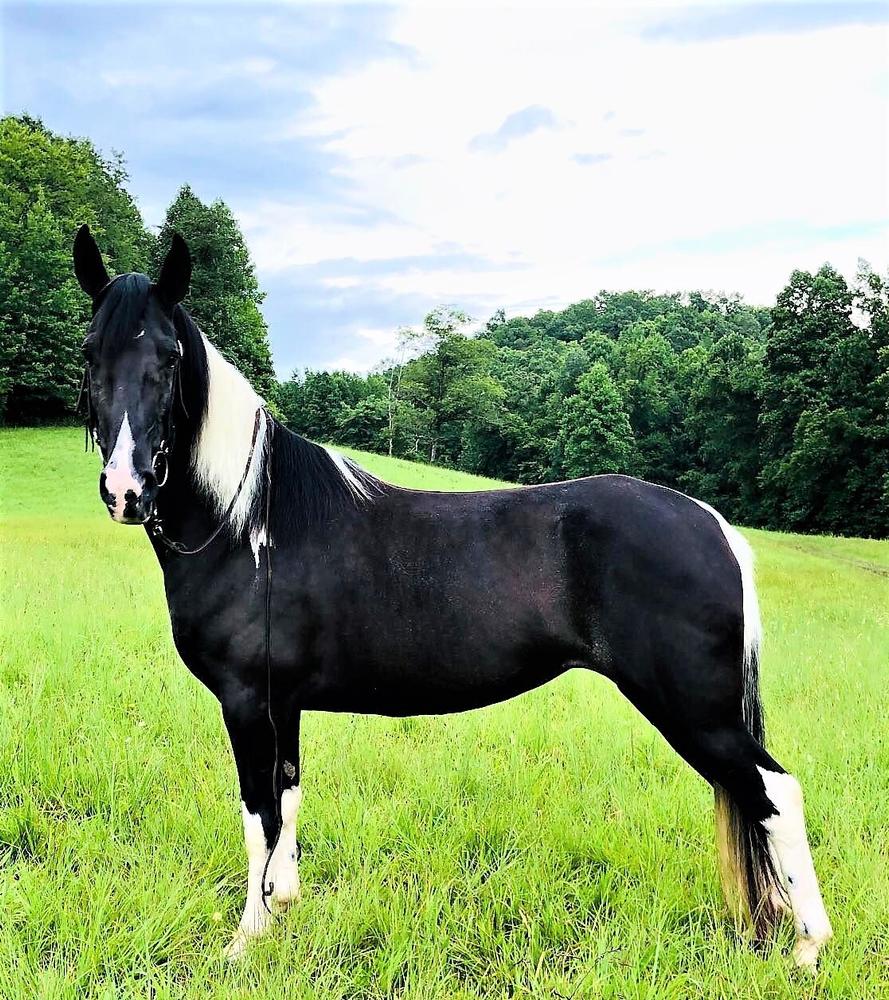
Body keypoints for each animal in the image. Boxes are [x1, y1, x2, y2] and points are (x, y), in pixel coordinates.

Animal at [72, 224, 832, 968]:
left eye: (170, 355)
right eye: (89, 352)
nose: (126, 489)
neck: (248, 522)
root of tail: (713, 525)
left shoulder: (246, 702)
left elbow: (259, 814)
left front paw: (244, 941)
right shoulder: (280, 704)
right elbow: (286, 806)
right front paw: (281, 910)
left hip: (696, 712)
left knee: (776, 794)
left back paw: (807, 947)